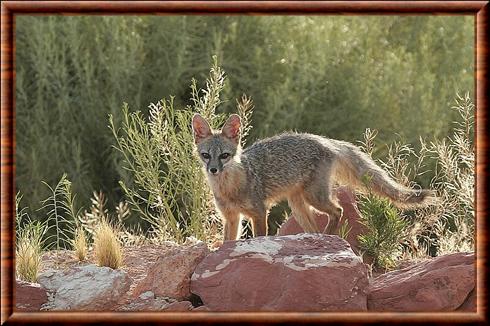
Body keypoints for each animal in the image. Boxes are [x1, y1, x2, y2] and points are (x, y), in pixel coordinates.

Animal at [190, 113, 436, 241]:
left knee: (338, 210)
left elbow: (260, 236)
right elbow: (226, 243)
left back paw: (328, 237)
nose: (213, 170)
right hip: (298, 206)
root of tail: (323, 139)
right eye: (206, 155)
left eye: (224, 155)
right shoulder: (231, 217)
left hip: (313, 198)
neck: (229, 189)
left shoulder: (259, 212)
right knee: (317, 226)